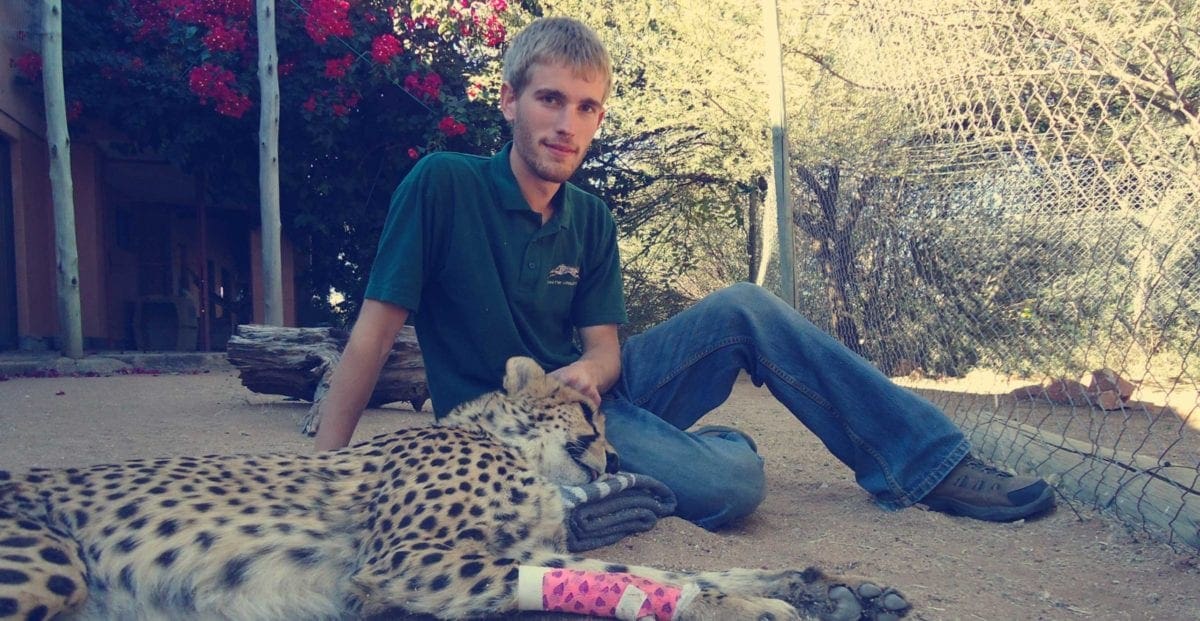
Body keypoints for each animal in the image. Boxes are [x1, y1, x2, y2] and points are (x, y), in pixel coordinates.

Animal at [0, 357, 907, 618]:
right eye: (587, 407)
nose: (611, 452)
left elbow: (661, 568)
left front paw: (827, 587)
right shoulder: (405, 562)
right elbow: (621, 575)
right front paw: (753, 606)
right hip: (52, 565)